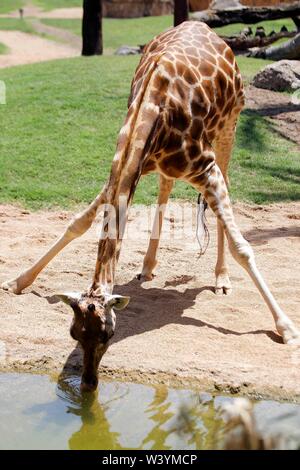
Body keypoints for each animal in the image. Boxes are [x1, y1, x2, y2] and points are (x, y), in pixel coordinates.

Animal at [1, 21, 298, 390]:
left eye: (108, 334)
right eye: (73, 333)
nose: (88, 383)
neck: (154, 110)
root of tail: (207, 29)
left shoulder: (206, 167)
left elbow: (243, 247)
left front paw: (287, 329)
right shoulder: (128, 167)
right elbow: (79, 222)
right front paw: (17, 281)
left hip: (230, 124)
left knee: (224, 193)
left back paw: (221, 279)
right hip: (167, 165)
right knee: (166, 188)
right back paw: (147, 266)